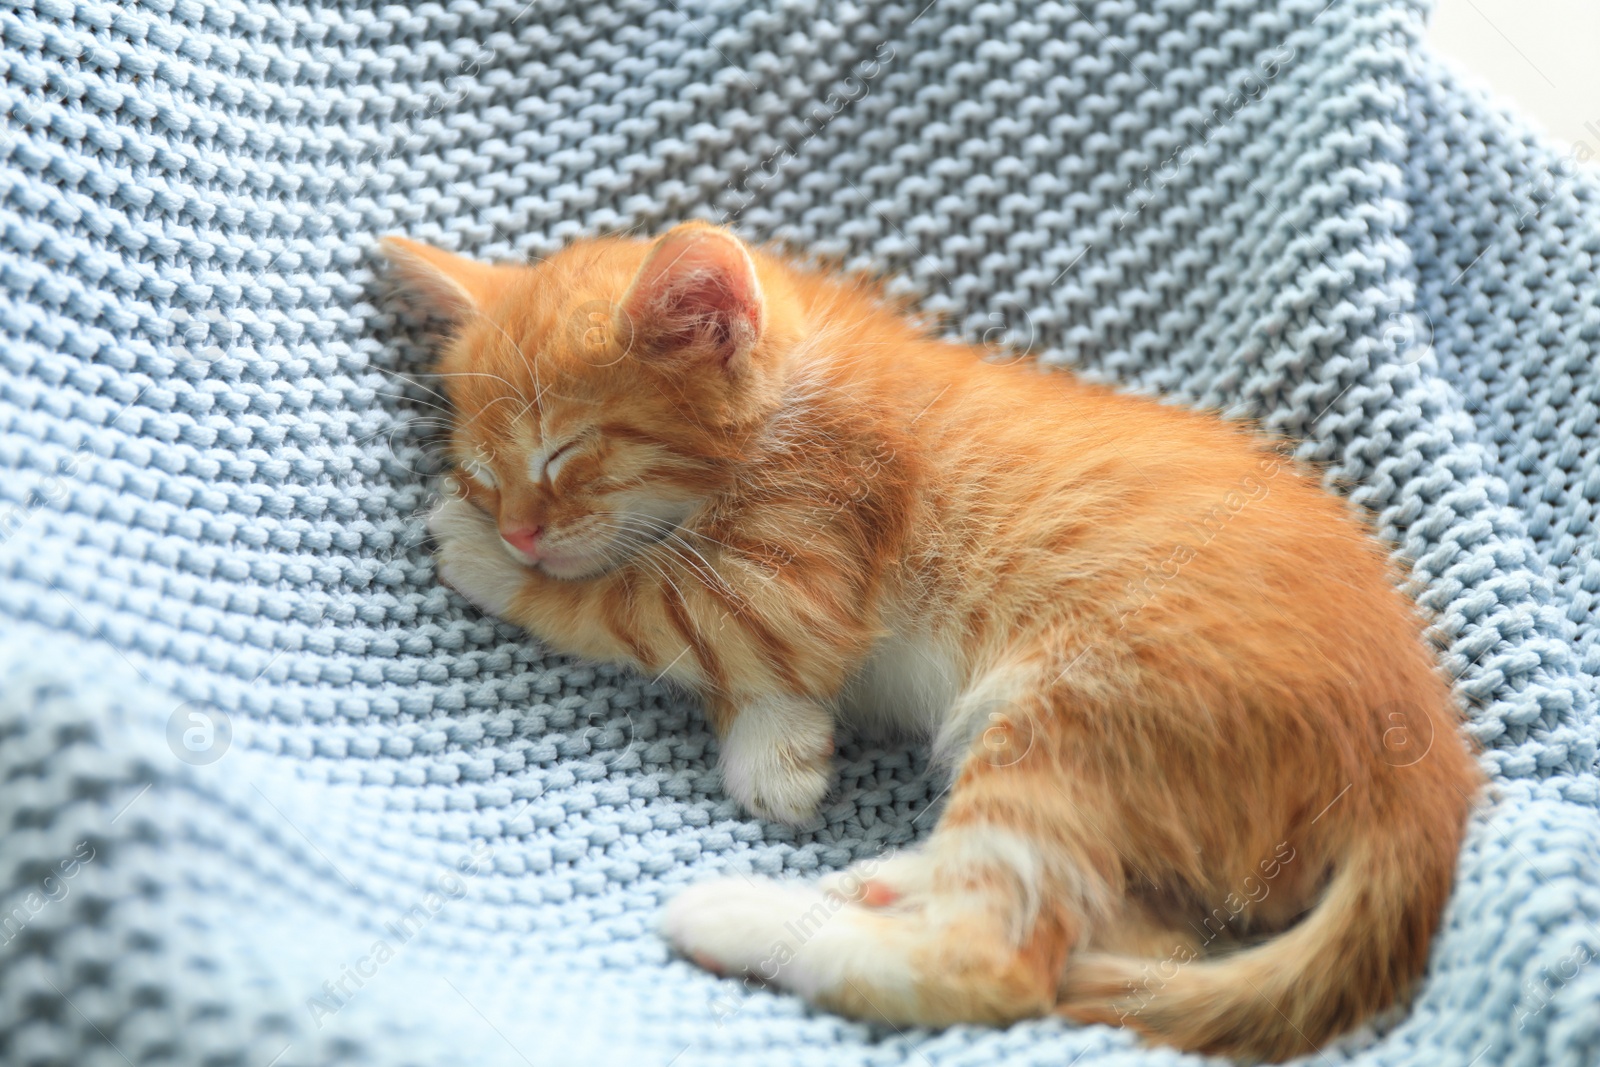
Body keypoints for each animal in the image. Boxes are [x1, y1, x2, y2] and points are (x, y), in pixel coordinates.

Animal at [380, 223, 1478, 1062]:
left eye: (564, 453)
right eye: (482, 466)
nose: (516, 528)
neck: (800, 384)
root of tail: (1422, 760)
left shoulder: (797, 565)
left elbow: (636, 603)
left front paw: (483, 559)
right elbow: (748, 664)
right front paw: (778, 747)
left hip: (1081, 708)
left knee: (997, 960)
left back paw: (744, 915)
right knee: (1137, 930)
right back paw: (887, 880)